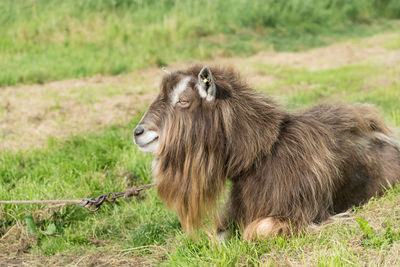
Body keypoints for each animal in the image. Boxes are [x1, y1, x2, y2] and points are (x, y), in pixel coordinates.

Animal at [134, 66, 400, 242]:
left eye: (183, 100)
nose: (138, 132)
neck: (262, 155)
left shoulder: (301, 213)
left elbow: (256, 231)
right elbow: (218, 237)